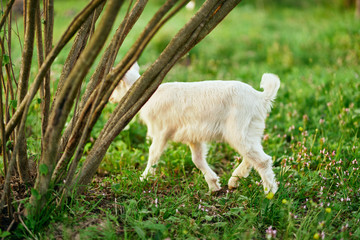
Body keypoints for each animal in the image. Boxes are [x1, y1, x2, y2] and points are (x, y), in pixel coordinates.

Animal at [109, 62, 282, 194]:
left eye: (116, 86)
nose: (109, 98)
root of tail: (261, 97)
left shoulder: (161, 132)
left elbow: (153, 154)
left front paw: (143, 178)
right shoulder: (193, 136)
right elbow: (197, 159)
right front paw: (214, 185)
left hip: (238, 130)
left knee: (262, 160)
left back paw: (269, 193)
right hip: (251, 130)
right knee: (252, 156)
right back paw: (234, 181)